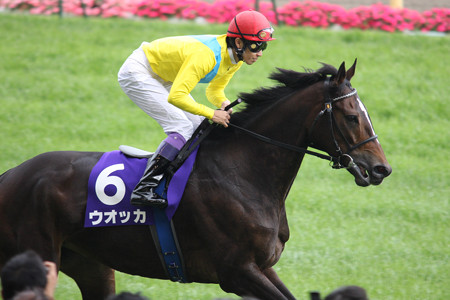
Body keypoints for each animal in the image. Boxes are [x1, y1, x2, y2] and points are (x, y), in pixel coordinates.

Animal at [0, 59, 390, 298]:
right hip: (38, 255)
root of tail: (11, 175)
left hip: (90, 265)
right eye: (352, 116)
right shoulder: (237, 271)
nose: (381, 169)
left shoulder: (262, 267)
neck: (243, 173)